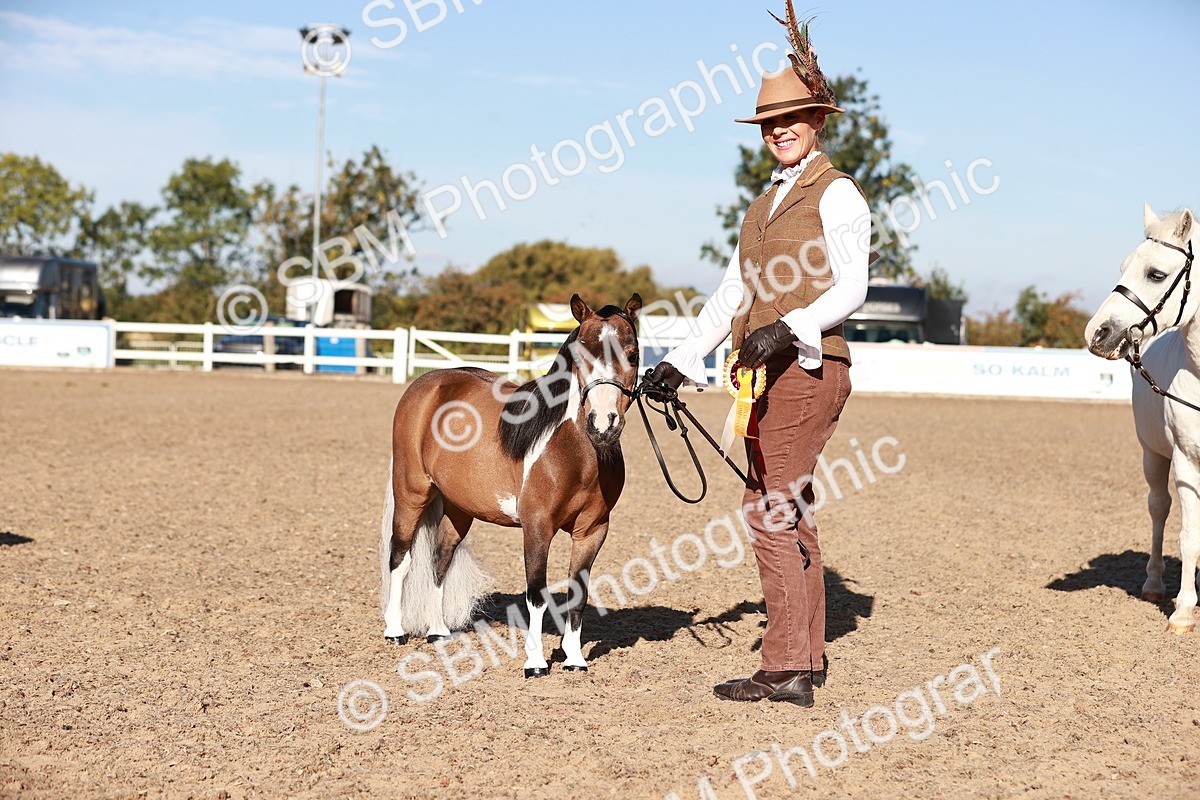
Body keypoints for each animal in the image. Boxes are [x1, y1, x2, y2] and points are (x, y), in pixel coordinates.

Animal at [380, 292, 643, 675]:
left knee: (440, 559)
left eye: (633, 353)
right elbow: (537, 595)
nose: (602, 424)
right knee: (400, 557)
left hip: (458, 508)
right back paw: (395, 630)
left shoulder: (593, 531)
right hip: (411, 492)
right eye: (582, 354)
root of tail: (427, 384)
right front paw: (535, 662)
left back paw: (438, 630)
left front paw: (574, 658)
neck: (573, 454)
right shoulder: (537, 527)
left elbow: (578, 594)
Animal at [1084, 204, 1198, 634]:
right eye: (1123, 266)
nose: (1096, 333)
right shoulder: (1185, 461)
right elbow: (1188, 535)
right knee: (1159, 509)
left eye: (1156, 274)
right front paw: (1183, 612)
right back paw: (1154, 584)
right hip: (1153, 455)